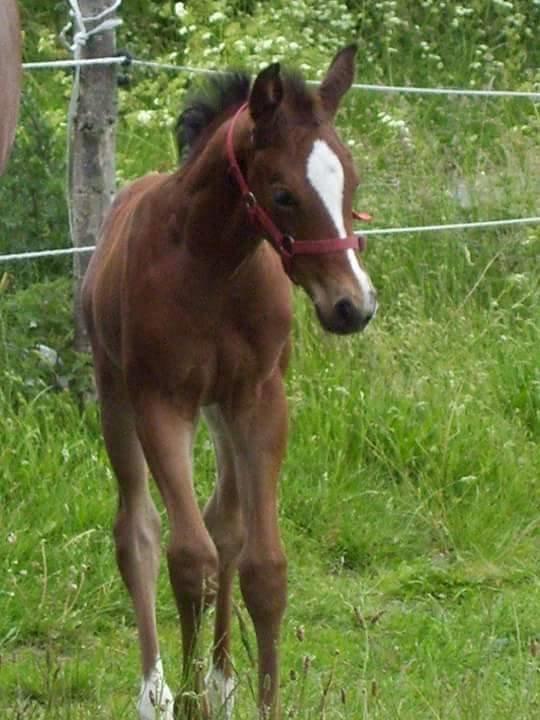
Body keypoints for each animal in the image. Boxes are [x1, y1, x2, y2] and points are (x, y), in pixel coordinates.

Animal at [83, 46, 376, 720]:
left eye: (350, 181)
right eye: (283, 193)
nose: (353, 306)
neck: (211, 266)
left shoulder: (260, 399)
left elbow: (261, 565)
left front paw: (256, 699)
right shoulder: (160, 403)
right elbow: (188, 558)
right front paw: (189, 700)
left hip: (219, 410)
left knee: (226, 528)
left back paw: (221, 680)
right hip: (117, 397)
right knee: (139, 533)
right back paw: (157, 691)